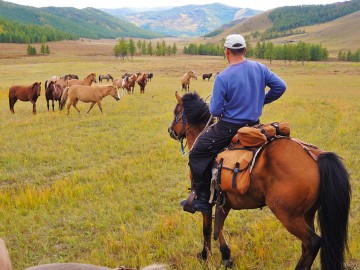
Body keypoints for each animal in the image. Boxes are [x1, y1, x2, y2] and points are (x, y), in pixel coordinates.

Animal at [169, 91, 352, 270]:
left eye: (176, 111)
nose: (170, 130)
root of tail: (317, 156)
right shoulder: (224, 200)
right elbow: (219, 225)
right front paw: (226, 256)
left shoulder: (206, 199)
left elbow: (207, 228)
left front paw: (205, 256)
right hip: (307, 213)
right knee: (307, 246)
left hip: (288, 215)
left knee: (312, 242)